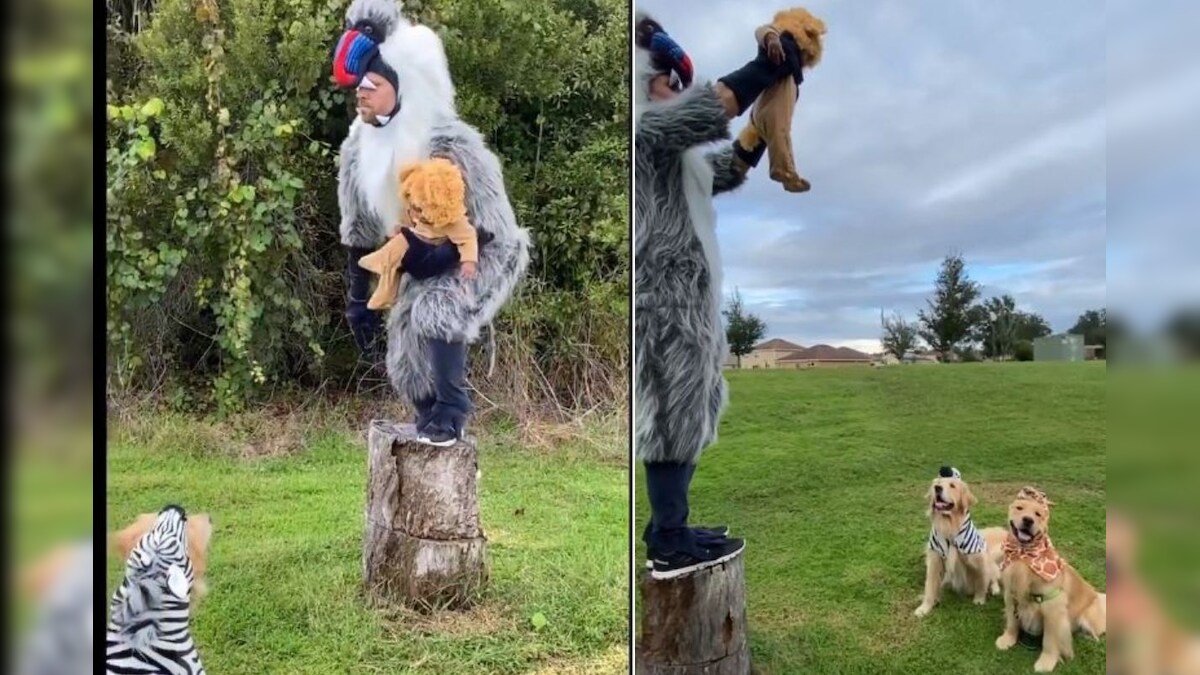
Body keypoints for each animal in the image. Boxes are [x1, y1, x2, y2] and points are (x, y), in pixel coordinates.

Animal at [912, 461, 1008, 614]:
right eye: (937, 483)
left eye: (952, 485)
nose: (937, 488)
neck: (950, 527)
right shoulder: (935, 559)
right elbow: (930, 586)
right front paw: (924, 607)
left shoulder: (977, 558)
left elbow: (981, 581)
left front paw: (979, 599)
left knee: (993, 575)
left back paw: (994, 589)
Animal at [993, 485, 1104, 667]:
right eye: (1019, 508)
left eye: (1038, 514)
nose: (1028, 520)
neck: (1024, 557)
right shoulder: (1011, 597)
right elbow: (1012, 623)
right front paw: (1007, 640)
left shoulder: (1053, 611)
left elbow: (1050, 641)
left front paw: (1046, 663)